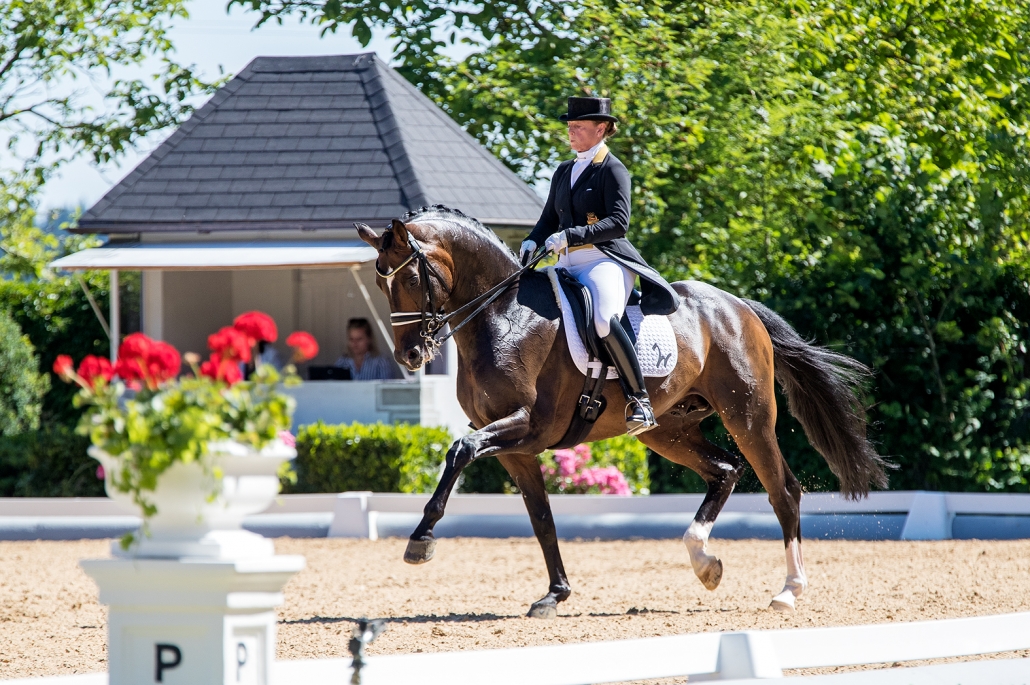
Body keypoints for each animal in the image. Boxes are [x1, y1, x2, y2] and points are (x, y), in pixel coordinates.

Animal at [355, 206, 888, 618]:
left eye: (409, 278)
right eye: (381, 287)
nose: (410, 356)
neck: (503, 317)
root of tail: (738, 306)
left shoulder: (527, 427)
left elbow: (459, 451)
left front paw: (421, 539)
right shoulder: (515, 446)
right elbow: (541, 517)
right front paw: (555, 595)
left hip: (749, 416)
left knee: (783, 490)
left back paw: (788, 592)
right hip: (667, 430)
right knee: (725, 471)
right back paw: (705, 563)